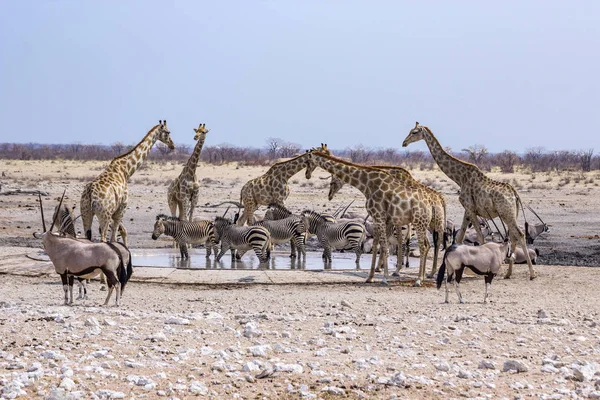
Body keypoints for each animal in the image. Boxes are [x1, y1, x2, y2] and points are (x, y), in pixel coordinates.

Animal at [304, 149, 432, 284]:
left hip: (419, 223)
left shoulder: (380, 217)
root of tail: (428, 203)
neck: (367, 183)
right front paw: (370, 277)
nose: (307, 175)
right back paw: (422, 275)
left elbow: (384, 247)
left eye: (308, 161)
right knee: (424, 245)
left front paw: (384, 277)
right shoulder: (377, 218)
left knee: (422, 246)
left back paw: (418, 279)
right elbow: (376, 246)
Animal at [404, 123, 536, 280]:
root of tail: (515, 194)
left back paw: (532, 274)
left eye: (414, 132)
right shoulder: (467, 210)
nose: (404, 143)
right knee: (514, 236)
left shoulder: (471, 209)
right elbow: (459, 237)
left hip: (506, 213)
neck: (460, 178)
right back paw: (508, 274)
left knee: (520, 234)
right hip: (511, 214)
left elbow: (480, 236)